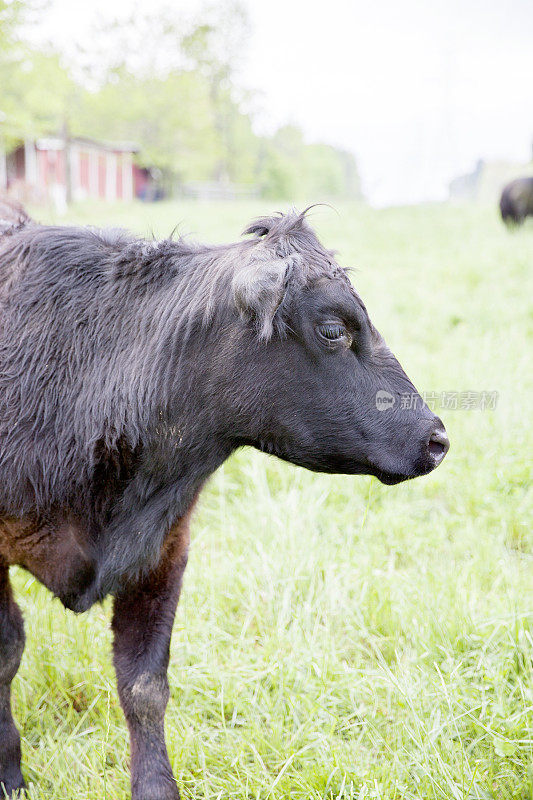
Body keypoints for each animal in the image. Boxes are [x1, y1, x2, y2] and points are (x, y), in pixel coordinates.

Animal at [0, 203, 448, 796]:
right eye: (333, 330)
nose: (437, 438)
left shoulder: (165, 549)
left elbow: (145, 685)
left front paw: (156, 787)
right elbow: (6, 653)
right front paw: (8, 771)